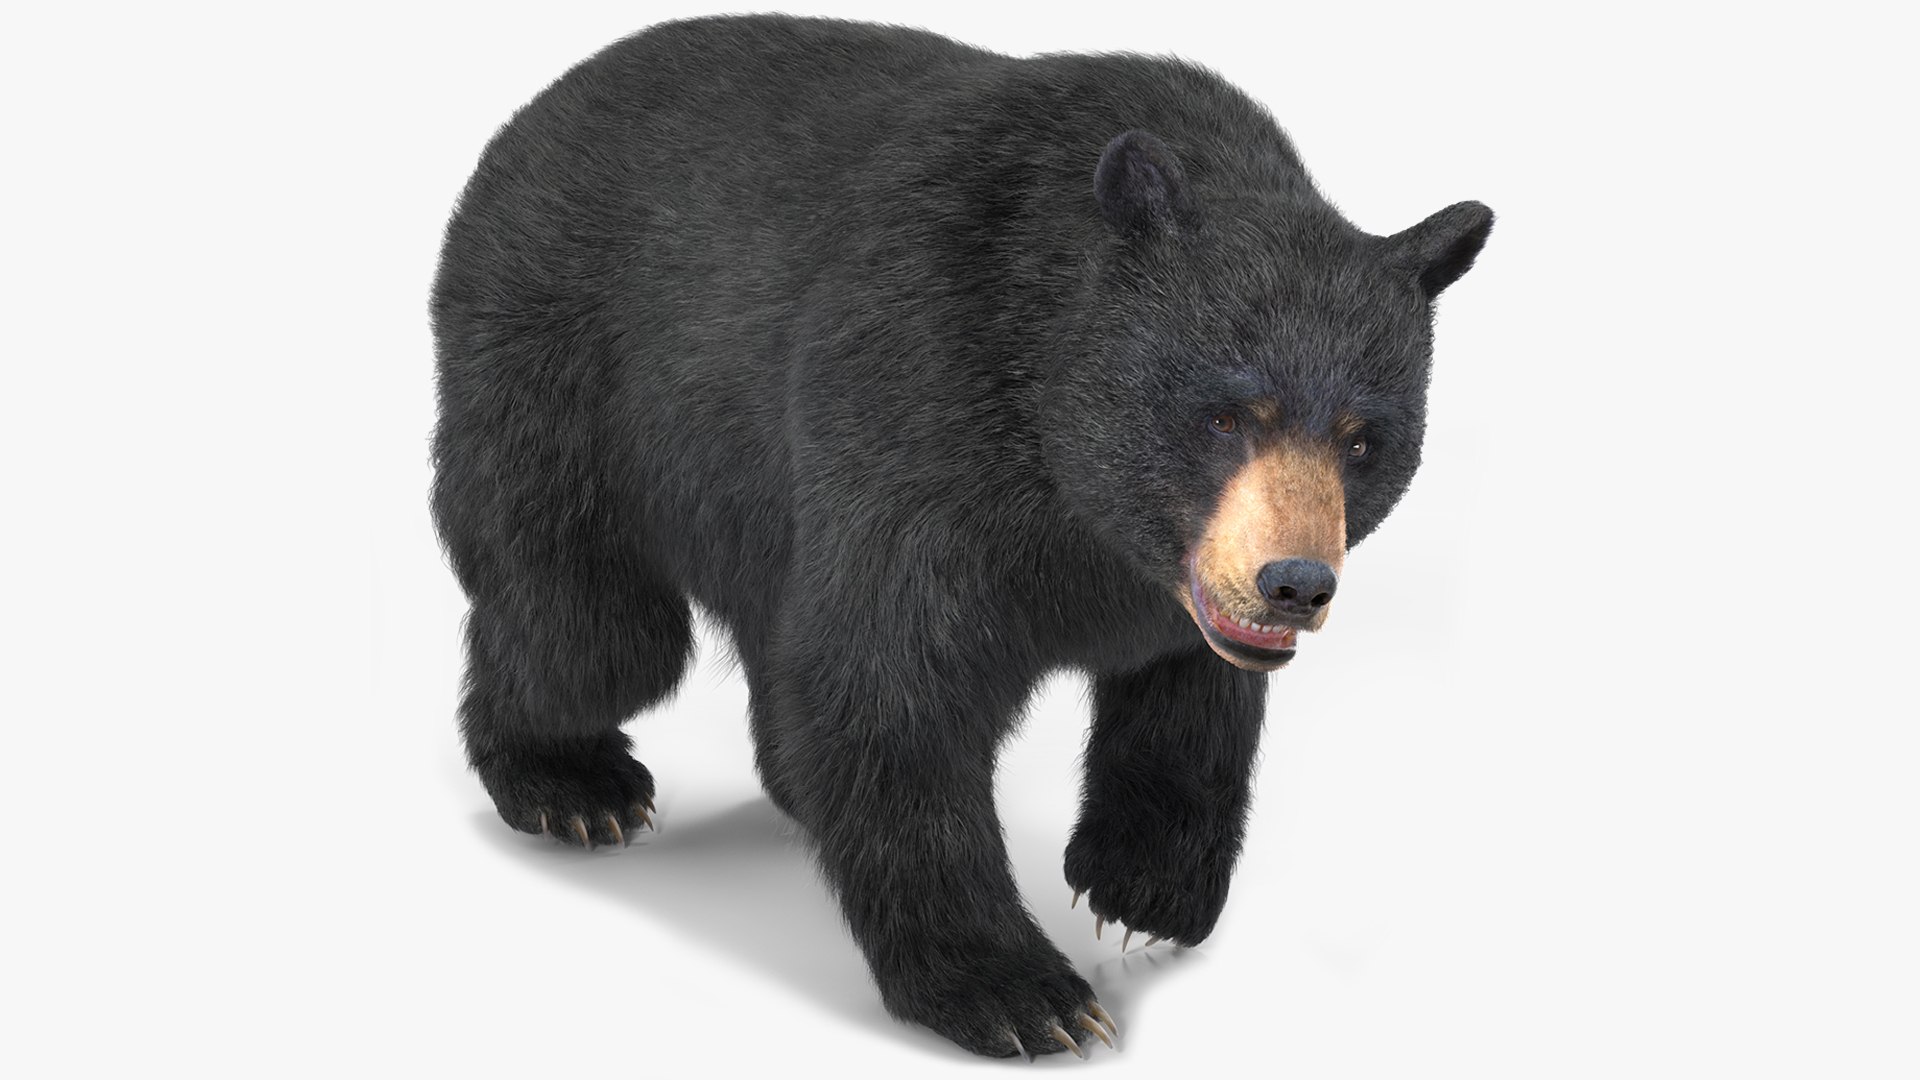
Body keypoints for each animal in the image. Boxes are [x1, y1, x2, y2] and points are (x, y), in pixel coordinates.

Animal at [430, 13, 1491, 1059]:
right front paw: (1019, 993)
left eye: (1363, 438)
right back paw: (572, 785)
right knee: (597, 639)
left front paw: (1143, 888)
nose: (1295, 584)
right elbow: (892, 683)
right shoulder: (923, 403)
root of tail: (523, 127)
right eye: (1226, 416)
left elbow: (1188, 692)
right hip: (561, 376)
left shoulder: (1176, 579)